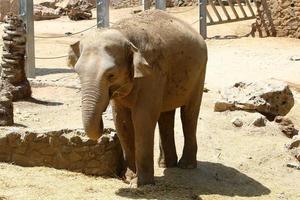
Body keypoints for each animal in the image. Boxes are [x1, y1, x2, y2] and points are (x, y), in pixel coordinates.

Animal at [68, 10, 207, 187]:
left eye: (111, 75)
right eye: (77, 72)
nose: (101, 123)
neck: (124, 33)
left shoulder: (152, 73)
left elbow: (142, 118)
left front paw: (141, 184)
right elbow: (121, 120)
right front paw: (129, 178)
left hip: (200, 72)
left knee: (189, 114)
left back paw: (186, 165)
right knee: (166, 115)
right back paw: (166, 164)